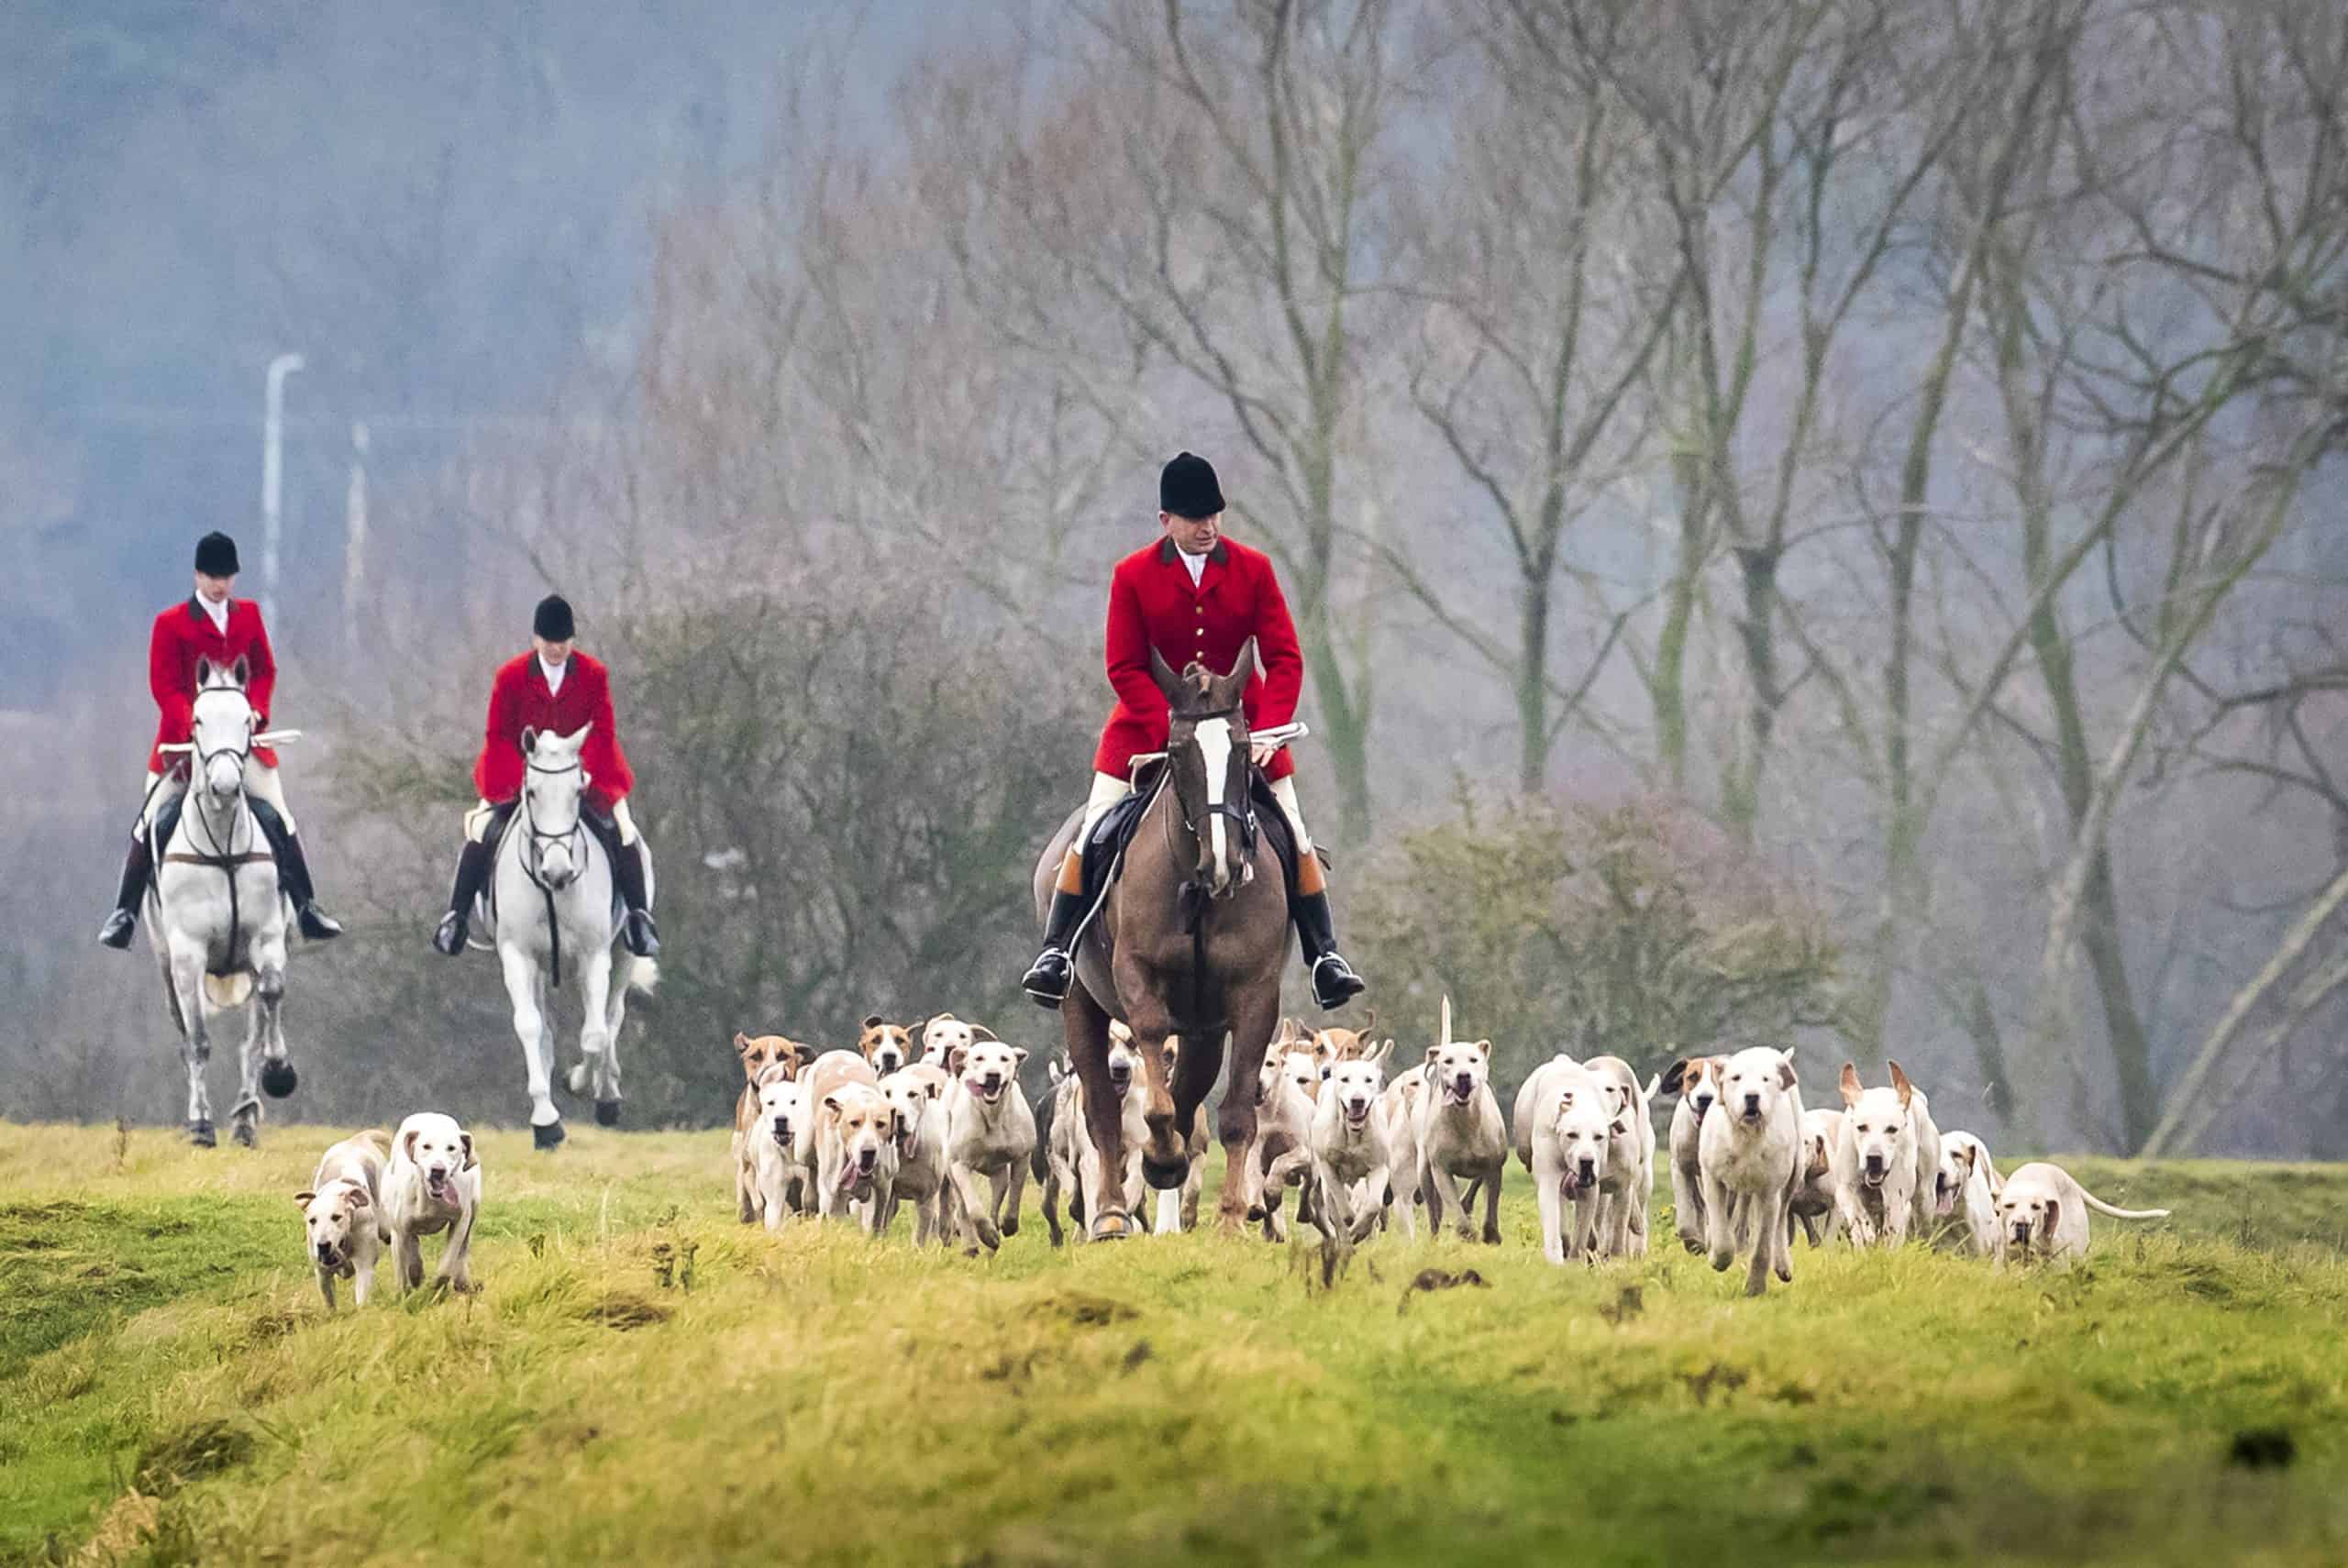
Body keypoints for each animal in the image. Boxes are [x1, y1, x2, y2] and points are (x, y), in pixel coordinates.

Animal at [147, 657, 295, 1145]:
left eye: (248, 720)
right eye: (197, 720)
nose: (227, 785)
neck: (224, 846)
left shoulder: (266, 939)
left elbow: (269, 998)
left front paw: (279, 1073)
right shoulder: (187, 954)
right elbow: (197, 1040)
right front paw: (200, 1126)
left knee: (253, 1032)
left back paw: (246, 1118)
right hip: (166, 964)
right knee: (185, 1033)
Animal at [471, 723, 661, 1150]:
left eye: (578, 791)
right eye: (531, 792)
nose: (557, 871)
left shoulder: (594, 955)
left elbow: (595, 1034)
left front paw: (578, 1083)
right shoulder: (518, 956)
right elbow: (530, 1027)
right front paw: (546, 1121)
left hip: (623, 953)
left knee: (612, 1016)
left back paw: (607, 1094)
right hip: (542, 968)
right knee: (547, 1028)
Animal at [1028, 638, 1286, 1239]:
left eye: (1244, 748)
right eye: (1177, 750)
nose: (1224, 862)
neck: (1197, 891)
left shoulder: (1255, 996)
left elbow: (1234, 1115)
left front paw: (1233, 1219)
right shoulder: (1139, 981)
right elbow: (1154, 1103)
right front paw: (1160, 1159)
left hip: (1205, 1029)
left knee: (1191, 1098)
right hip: (1079, 1004)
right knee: (1101, 1110)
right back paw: (1109, 1213)